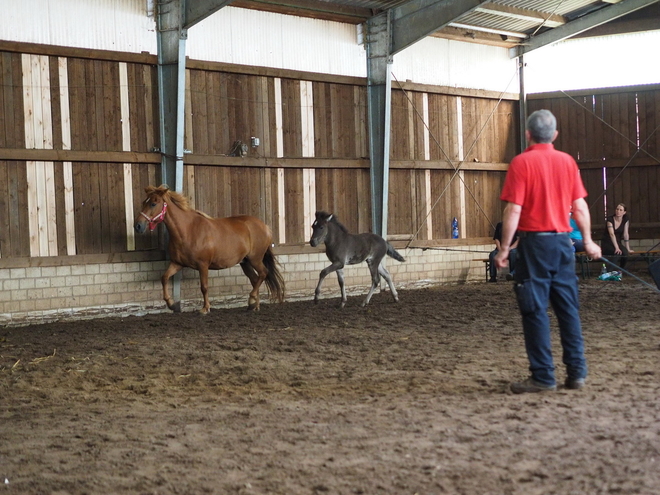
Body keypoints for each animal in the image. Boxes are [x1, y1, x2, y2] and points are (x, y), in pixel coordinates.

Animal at [135, 186, 284, 314]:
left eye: (153, 203)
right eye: (144, 202)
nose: (138, 226)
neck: (188, 230)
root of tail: (265, 226)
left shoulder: (203, 265)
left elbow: (204, 286)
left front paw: (205, 308)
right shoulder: (177, 263)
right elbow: (164, 278)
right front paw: (172, 304)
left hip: (255, 259)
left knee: (263, 273)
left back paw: (252, 300)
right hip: (245, 262)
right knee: (255, 279)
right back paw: (253, 305)